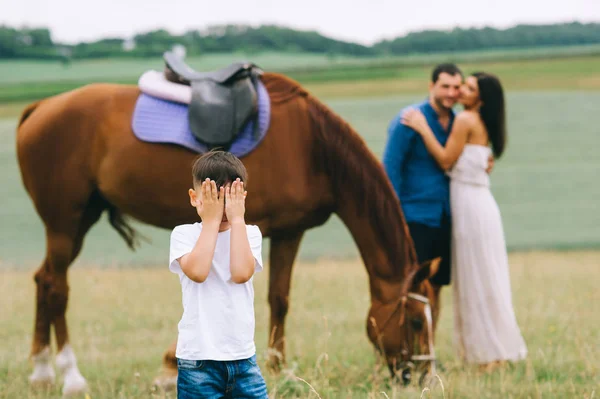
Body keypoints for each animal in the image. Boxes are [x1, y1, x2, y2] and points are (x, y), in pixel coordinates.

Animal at [17, 72, 440, 396]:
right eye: (417, 322)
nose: (422, 375)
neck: (312, 148)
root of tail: (39, 107)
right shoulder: (280, 231)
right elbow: (276, 299)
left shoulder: (289, 231)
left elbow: (280, 298)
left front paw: (276, 367)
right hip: (64, 222)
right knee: (56, 286)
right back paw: (70, 377)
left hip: (80, 222)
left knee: (42, 280)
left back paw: (40, 373)